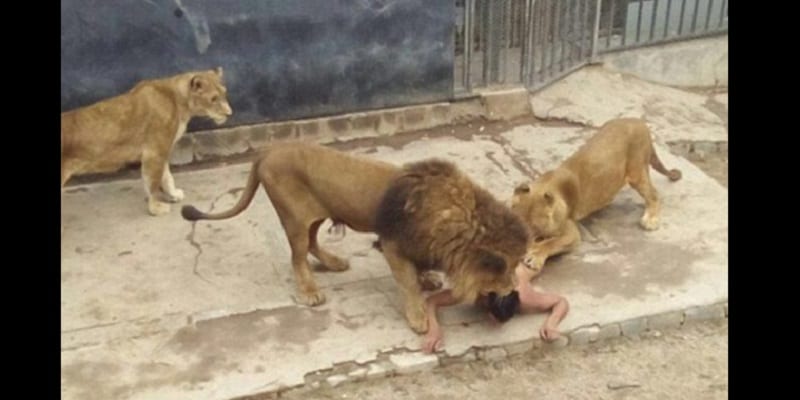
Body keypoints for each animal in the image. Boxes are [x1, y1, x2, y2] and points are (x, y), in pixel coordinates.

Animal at [61, 67, 233, 216]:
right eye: (213, 99)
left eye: (225, 94)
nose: (230, 113)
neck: (179, 101)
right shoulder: (154, 151)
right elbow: (154, 182)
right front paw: (156, 208)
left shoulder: (162, 148)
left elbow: (166, 176)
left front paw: (173, 195)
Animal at [181, 142, 403, 306]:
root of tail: (271, 149)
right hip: (294, 217)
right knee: (297, 257)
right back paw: (310, 292)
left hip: (312, 216)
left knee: (310, 244)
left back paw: (334, 263)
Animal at [375, 159, 531, 333]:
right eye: (509, 269)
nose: (515, 286)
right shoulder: (394, 242)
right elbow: (409, 282)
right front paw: (418, 317)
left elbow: (418, 270)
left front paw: (427, 279)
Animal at [510, 118, 682, 277]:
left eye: (535, 228)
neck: (544, 186)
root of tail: (640, 122)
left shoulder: (571, 233)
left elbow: (551, 242)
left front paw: (535, 255)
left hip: (636, 171)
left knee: (654, 194)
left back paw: (651, 219)